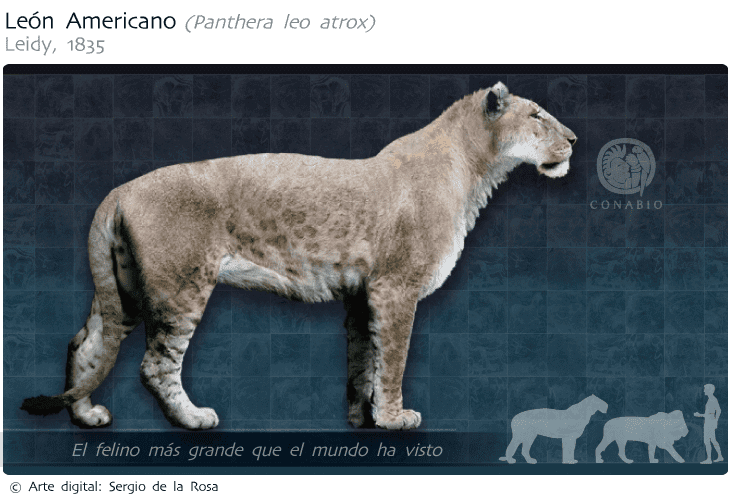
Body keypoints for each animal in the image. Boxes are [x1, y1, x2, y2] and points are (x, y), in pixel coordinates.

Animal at [21, 82, 576, 430]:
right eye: (536, 116)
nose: (573, 139)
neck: (475, 170)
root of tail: (118, 189)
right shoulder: (395, 288)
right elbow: (393, 360)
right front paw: (395, 419)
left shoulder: (362, 293)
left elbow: (363, 361)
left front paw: (362, 418)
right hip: (180, 288)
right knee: (155, 365)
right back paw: (195, 419)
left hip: (125, 289)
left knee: (86, 344)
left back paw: (87, 415)